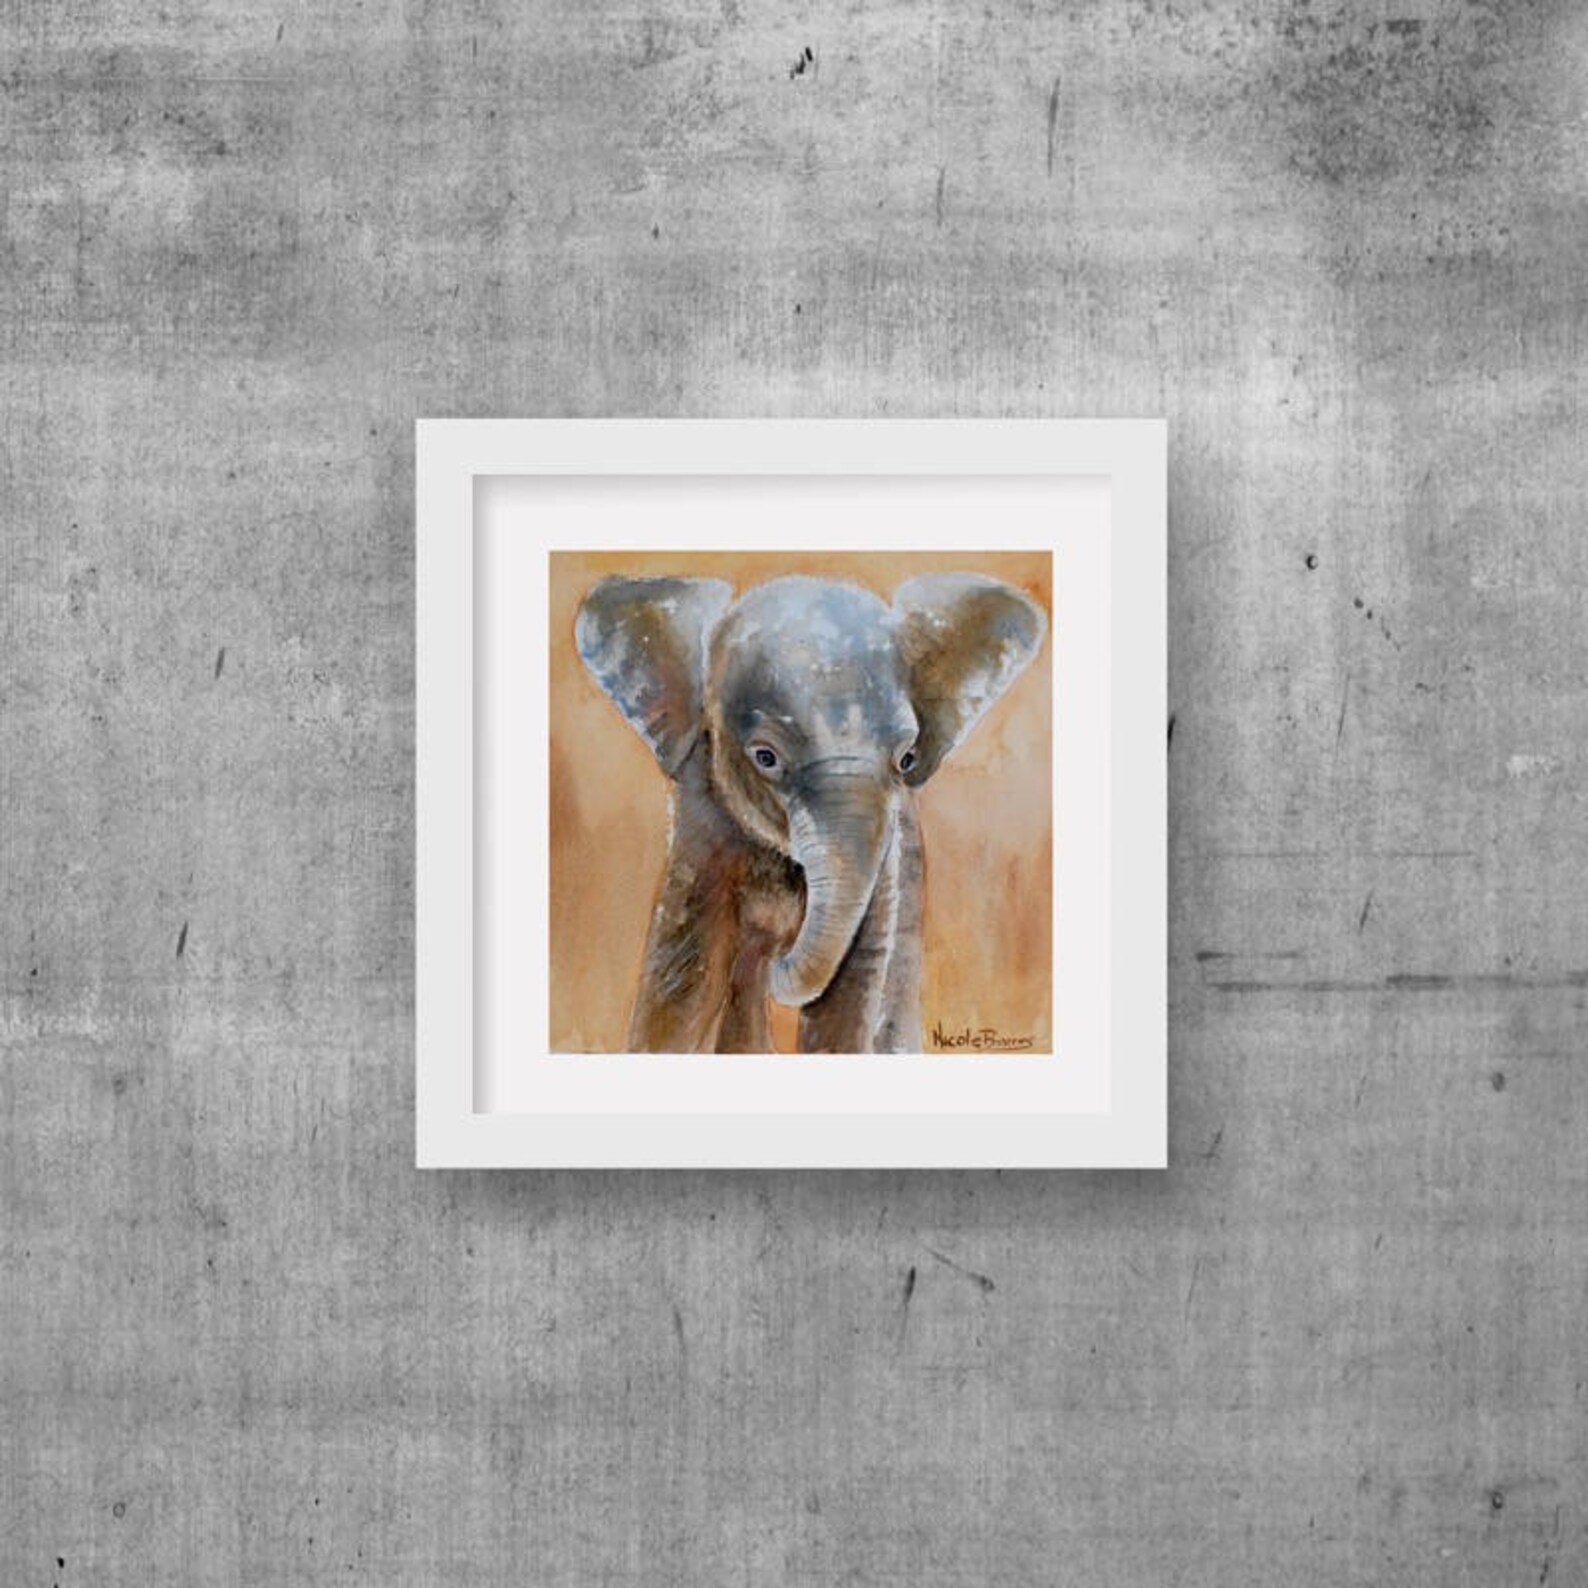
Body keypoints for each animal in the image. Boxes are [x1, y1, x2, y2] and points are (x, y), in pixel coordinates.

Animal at [574, 571, 1046, 1053]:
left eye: (907, 759)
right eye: (765, 757)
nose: (778, 951)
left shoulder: (892, 857)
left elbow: (852, 988)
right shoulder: (701, 815)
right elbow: (686, 970)